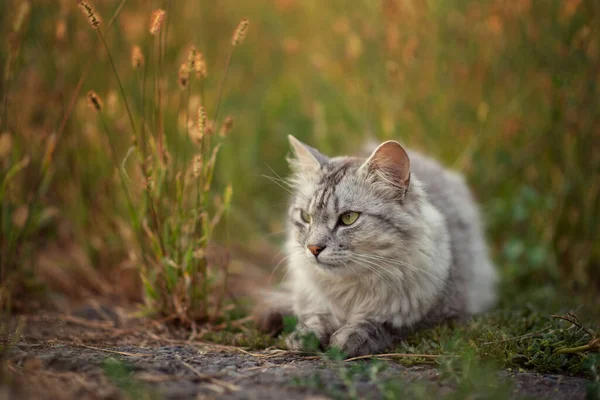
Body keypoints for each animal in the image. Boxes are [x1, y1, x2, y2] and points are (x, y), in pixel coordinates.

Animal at [262, 136, 496, 358]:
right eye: (305, 217)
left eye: (348, 218)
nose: (313, 248)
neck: (348, 290)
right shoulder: (312, 301)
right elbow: (314, 319)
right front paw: (303, 338)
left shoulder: (429, 315)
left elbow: (377, 324)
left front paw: (347, 339)